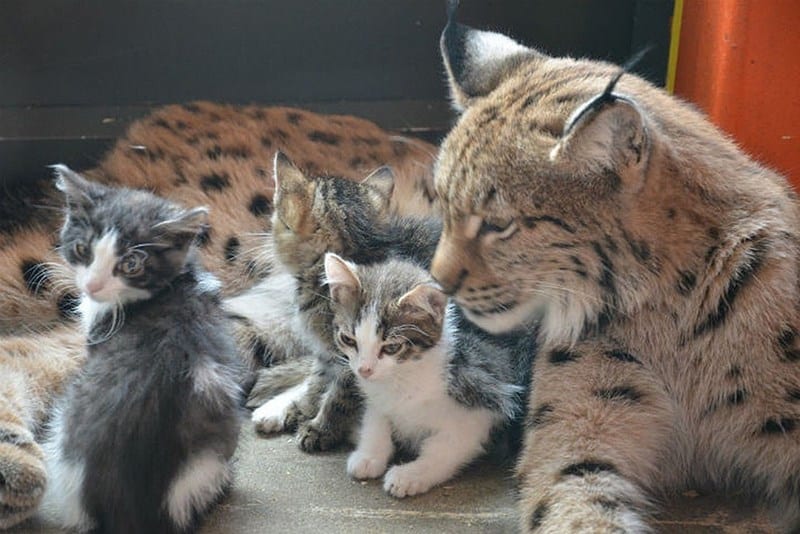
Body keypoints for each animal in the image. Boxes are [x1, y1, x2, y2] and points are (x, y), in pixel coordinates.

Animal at [322, 253, 520, 500]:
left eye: (391, 347)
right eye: (348, 339)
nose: (364, 370)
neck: (405, 374)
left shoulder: (485, 400)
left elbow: (445, 446)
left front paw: (410, 475)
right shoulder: (376, 394)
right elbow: (376, 416)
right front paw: (369, 454)